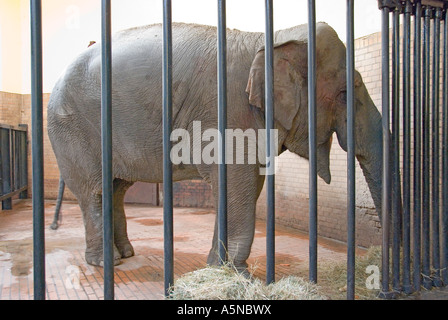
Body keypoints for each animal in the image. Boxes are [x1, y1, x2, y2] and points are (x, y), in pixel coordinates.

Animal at [48, 22, 382, 272]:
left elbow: (244, 185)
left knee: (117, 189)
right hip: (73, 129)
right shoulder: (228, 112)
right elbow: (237, 183)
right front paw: (237, 272)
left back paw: (126, 254)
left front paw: (218, 266)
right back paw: (108, 263)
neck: (273, 37)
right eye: (345, 93)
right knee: (96, 191)